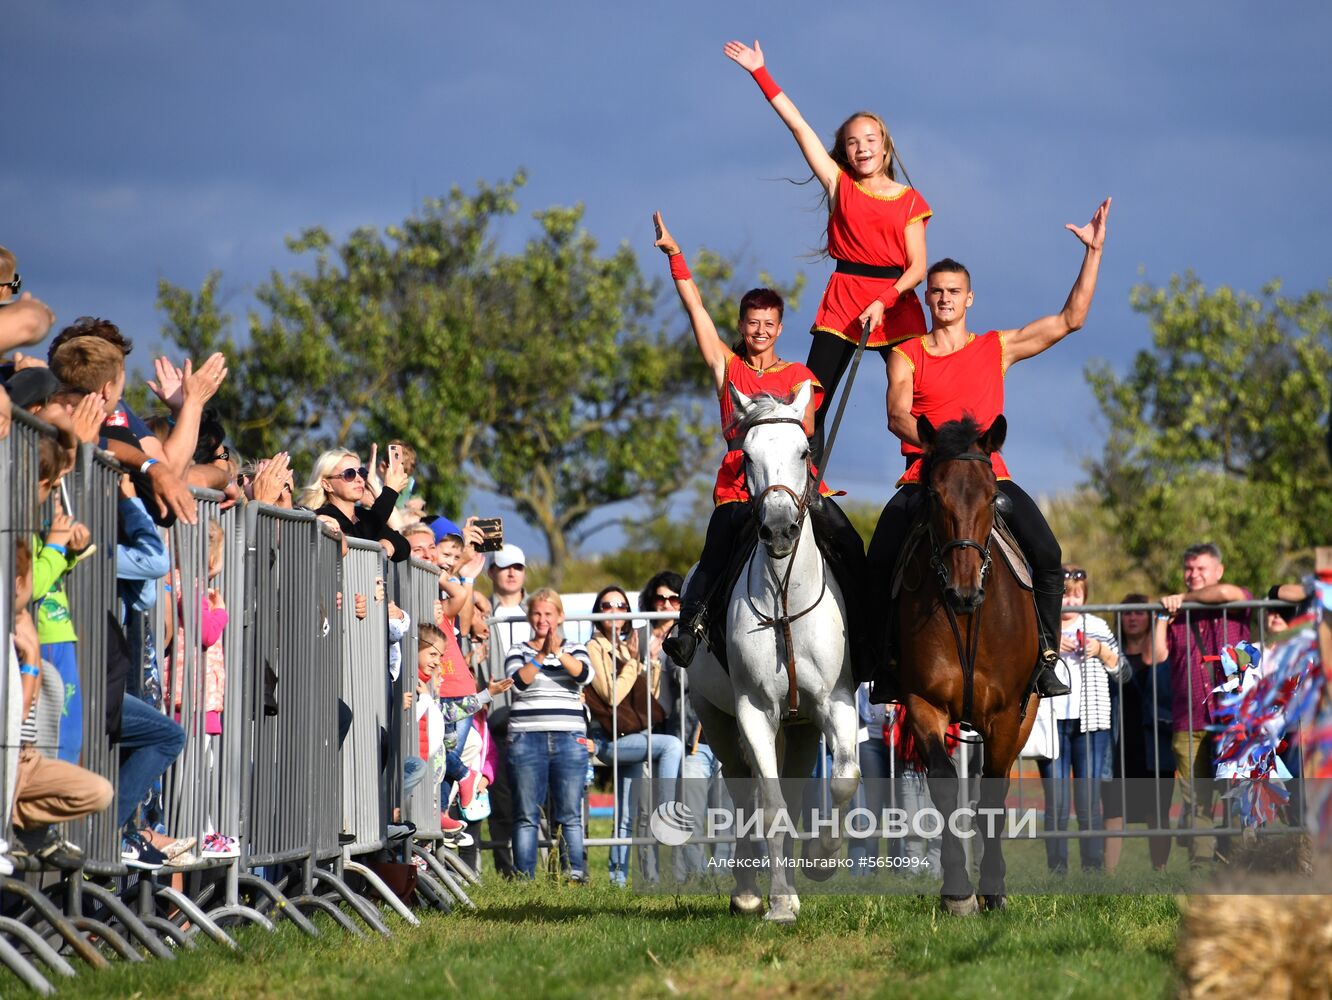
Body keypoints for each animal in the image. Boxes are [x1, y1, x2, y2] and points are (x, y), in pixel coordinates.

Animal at [687, 380, 863, 921]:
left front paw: (822, 858)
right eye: (746, 456)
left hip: (801, 728)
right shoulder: (754, 710)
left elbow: (843, 779)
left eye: (805, 451)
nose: (781, 530)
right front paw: (782, 901)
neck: (785, 599)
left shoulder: (835, 703)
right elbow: (770, 807)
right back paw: (746, 892)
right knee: (744, 789)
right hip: (718, 720)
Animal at [895, 415, 1038, 916]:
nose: (963, 591)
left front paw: (993, 888)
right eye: (935, 496)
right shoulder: (922, 702)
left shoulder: (1007, 713)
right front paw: (958, 890)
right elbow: (942, 785)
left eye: (992, 495)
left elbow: (993, 793)